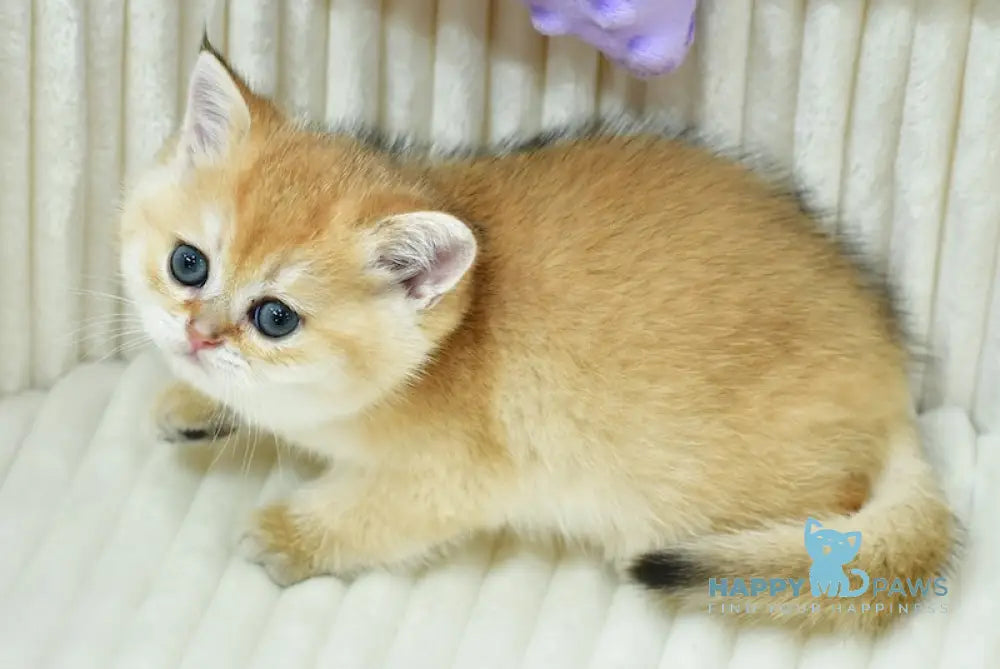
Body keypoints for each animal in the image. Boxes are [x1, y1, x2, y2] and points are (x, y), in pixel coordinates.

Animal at [121, 43, 956, 632]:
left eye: (275, 317)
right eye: (188, 264)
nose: (198, 333)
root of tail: (894, 387)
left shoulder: (460, 477)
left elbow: (373, 513)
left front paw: (289, 534)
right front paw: (192, 401)